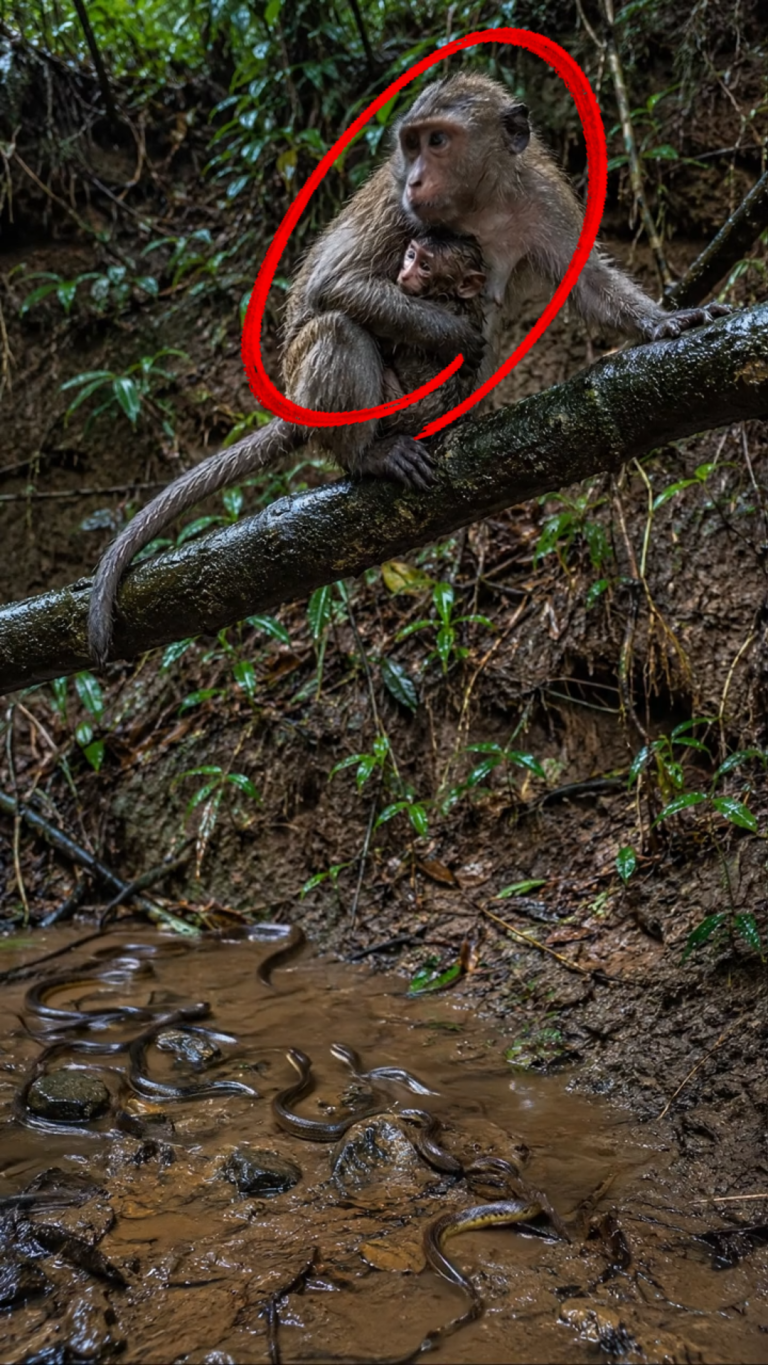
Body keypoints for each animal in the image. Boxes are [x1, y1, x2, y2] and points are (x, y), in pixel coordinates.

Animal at [88, 71, 730, 666]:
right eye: (411, 145)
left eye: (438, 141)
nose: (417, 177)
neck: (480, 206)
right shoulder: (400, 211)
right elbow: (335, 286)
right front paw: (460, 337)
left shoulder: (539, 196)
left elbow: (588, 283)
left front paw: (665, 323)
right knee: (337, 329)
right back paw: (368, 454)